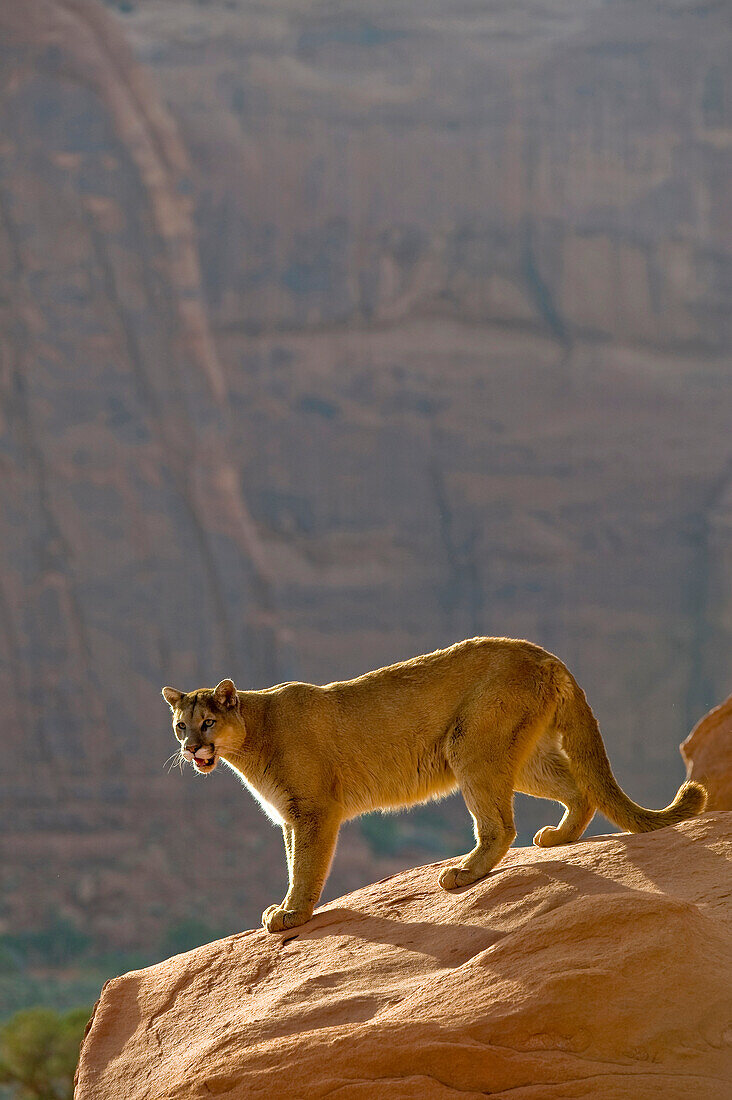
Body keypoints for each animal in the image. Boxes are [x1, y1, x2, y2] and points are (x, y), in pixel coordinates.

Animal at [162, 642, 704, 932]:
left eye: (208, 722)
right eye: (180, 725)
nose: (191, 748)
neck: (253, 738)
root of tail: (545, 655)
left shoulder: (313, 811)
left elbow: (307, 867)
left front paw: (292, 914)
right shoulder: (291, 817)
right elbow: (296, 860)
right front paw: (286, 909)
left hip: (473, 746)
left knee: (501, 824)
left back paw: (464, 874)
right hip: (521, 756)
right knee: (579, 789)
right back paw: (558, 837)